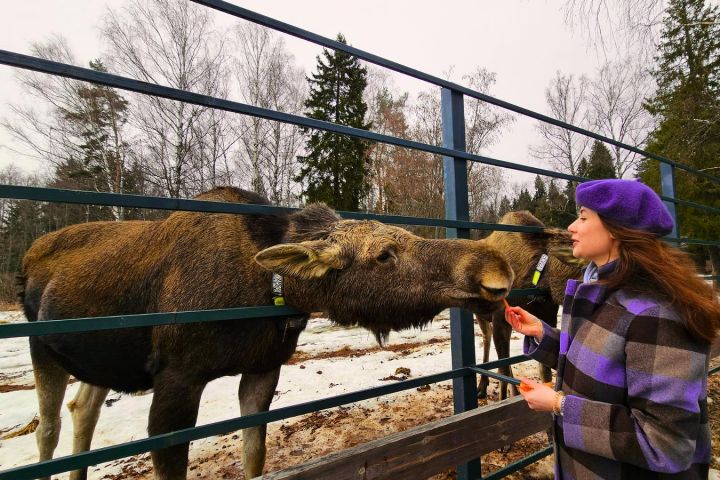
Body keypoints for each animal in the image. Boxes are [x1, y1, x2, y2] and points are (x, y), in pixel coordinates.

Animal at [19, 186, 516, 478]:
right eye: (383, 255)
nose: (494, 265)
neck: (270, 288)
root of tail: (26, 255)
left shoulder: (262, 371)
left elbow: (254, 457)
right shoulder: (177, 379)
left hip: (100, 362)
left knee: (82, 409)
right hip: (40, 348)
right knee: (48, 428)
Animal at [476, 212, 584, 400]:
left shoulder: (547, 318)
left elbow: (545, 373)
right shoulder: (500, 319)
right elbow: (503, 372)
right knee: (486, 336)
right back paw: (482, 386)